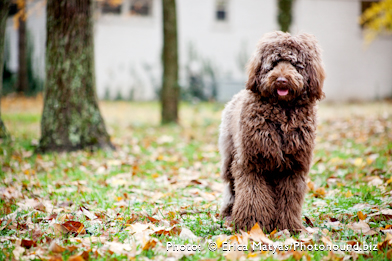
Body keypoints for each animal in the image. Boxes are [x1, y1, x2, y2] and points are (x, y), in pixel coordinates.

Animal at [220, 31, 324, 232]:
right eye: (274, 63)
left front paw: (288, 226)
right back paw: (228, 214)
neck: (282, 112)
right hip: (229, 156)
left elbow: (289, 199)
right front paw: (252, 224)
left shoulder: (293, 167)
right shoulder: (252, 163)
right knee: (232, 187)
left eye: (295, 64)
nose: (281, 79)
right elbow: (253, 195)